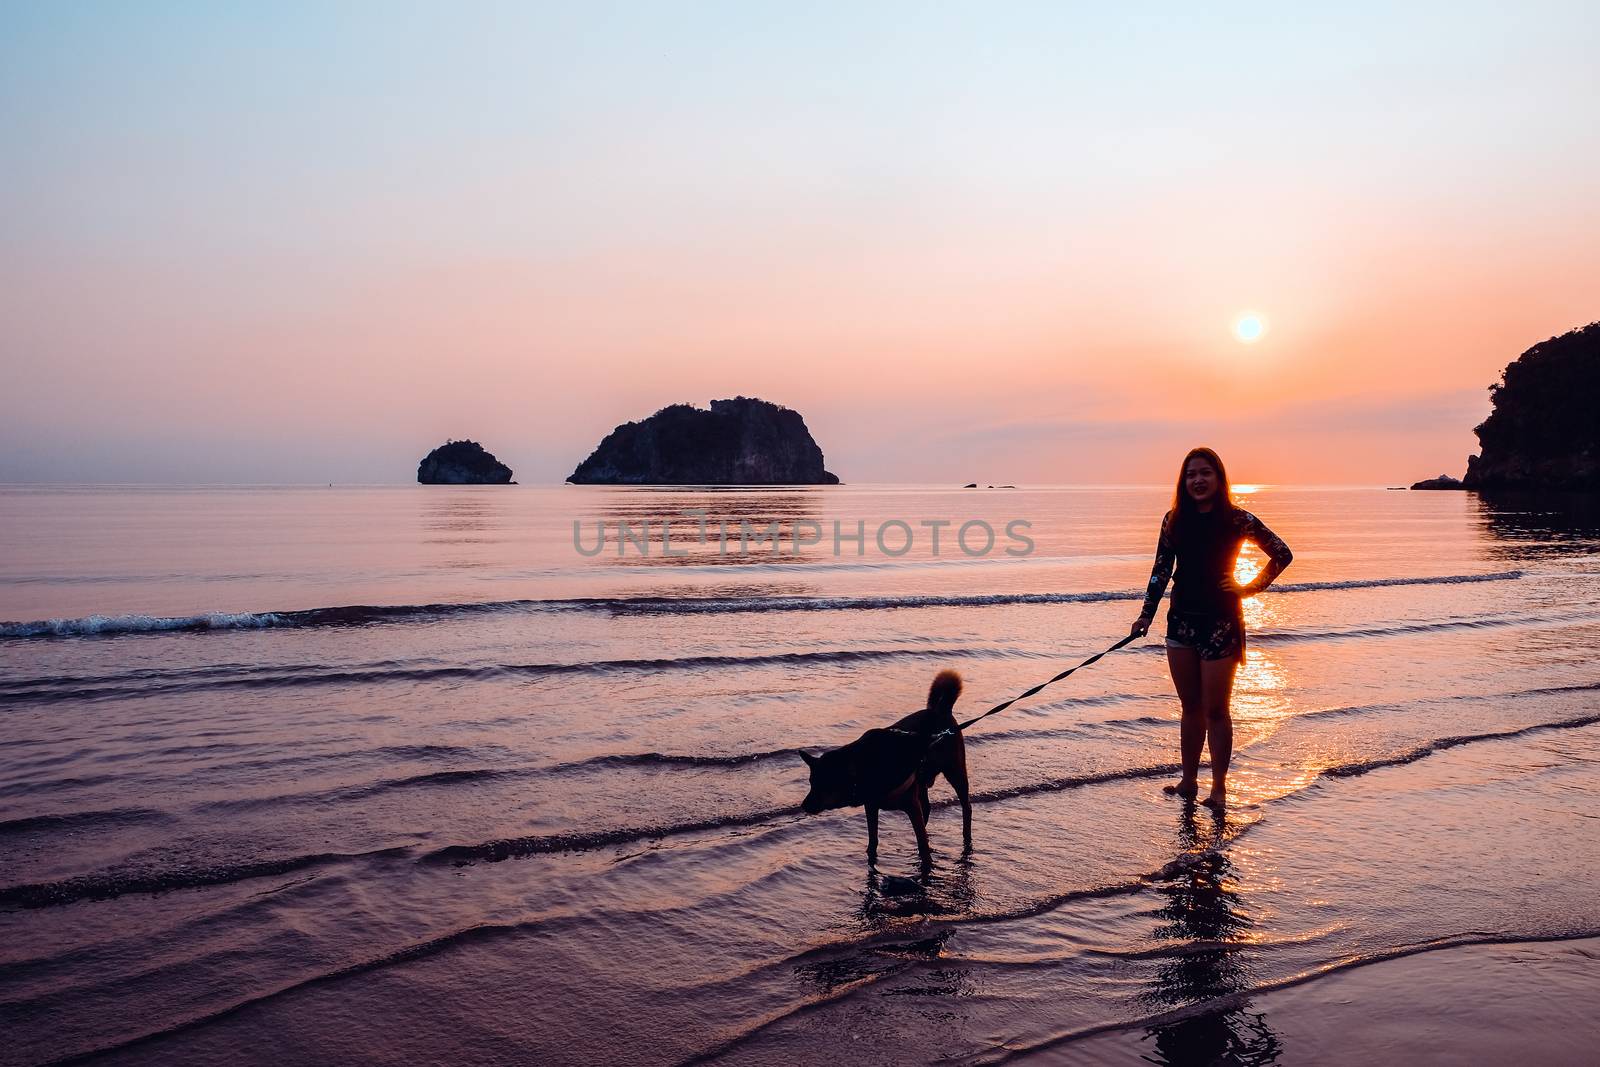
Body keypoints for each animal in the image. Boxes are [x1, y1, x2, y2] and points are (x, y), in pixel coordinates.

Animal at [793, 671, 966, 863]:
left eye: (824, 784)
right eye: (811, 783)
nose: (804, 805)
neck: (864, 766)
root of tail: (942, 709)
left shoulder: (911, 806)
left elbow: (923, 846)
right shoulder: (871, 806)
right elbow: (873, 841)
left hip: (955, 771)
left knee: (966, 808)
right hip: (922, 779)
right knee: (927, 807)